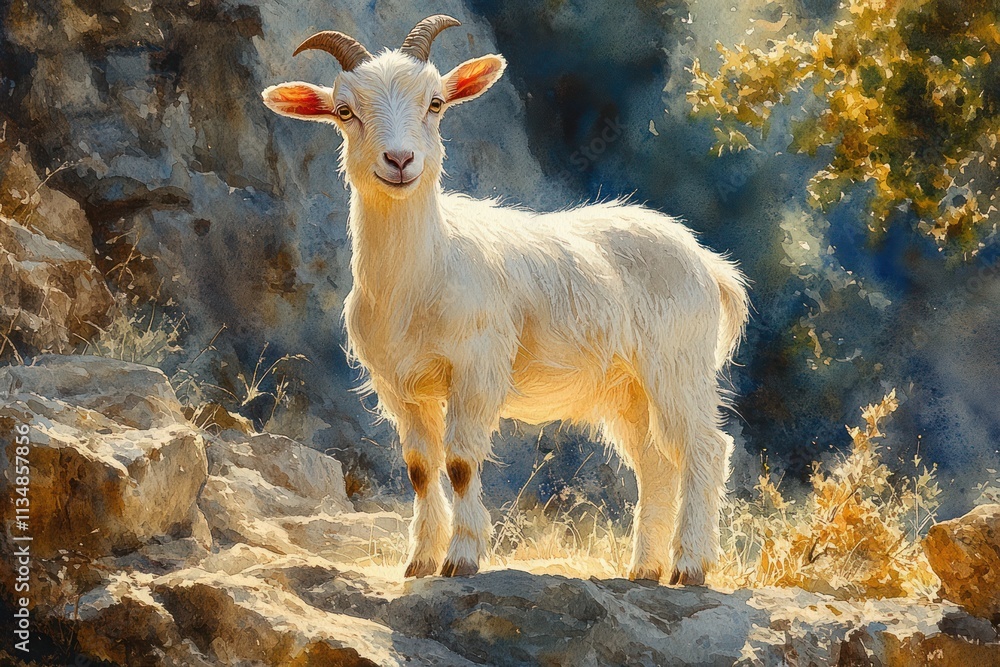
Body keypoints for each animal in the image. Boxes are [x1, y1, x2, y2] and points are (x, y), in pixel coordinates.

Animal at [262, 15, 749, 585]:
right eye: (345, 111)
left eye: (435, 102)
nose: (400, 160)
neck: (426, 271)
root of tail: (708, 264)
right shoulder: (401, 384)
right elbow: (421, 468)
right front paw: (419, 562)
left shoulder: (477, 366)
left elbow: (460, 462)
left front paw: (462, 558)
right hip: (625, 387)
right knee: (655, 463)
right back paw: (644, 569)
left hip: (677, 364)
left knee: (704, 449)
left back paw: (690, 566)